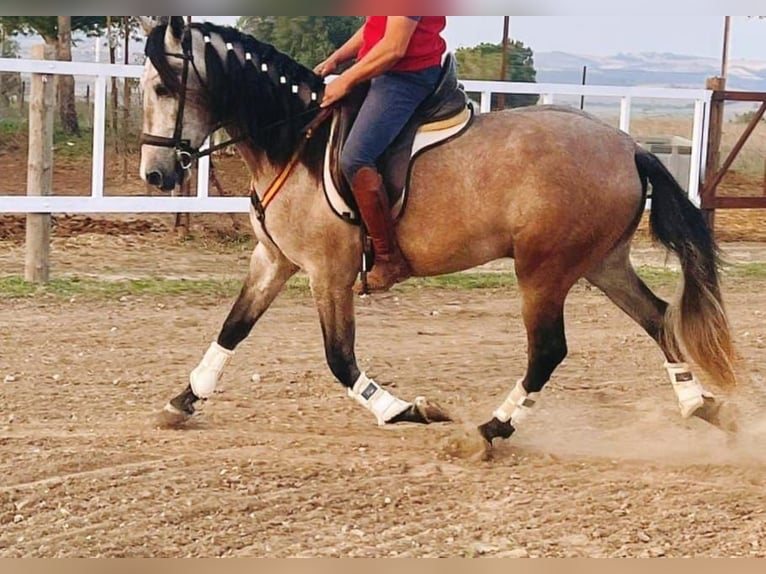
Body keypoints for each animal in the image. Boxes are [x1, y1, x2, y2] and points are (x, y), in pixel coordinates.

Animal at [138, 16, 736, 450]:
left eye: (164, 87)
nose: (155, 176)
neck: (295, 141)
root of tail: (629, 147)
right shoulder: (274, 259)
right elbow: (232, 328)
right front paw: (182, 401)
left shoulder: (328, 271)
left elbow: (339, 358)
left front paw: (405, 410)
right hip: (601, 262)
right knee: (658, 318)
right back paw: (699, 405)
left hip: (544, 270)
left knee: (548, 350)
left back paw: (492, 429)